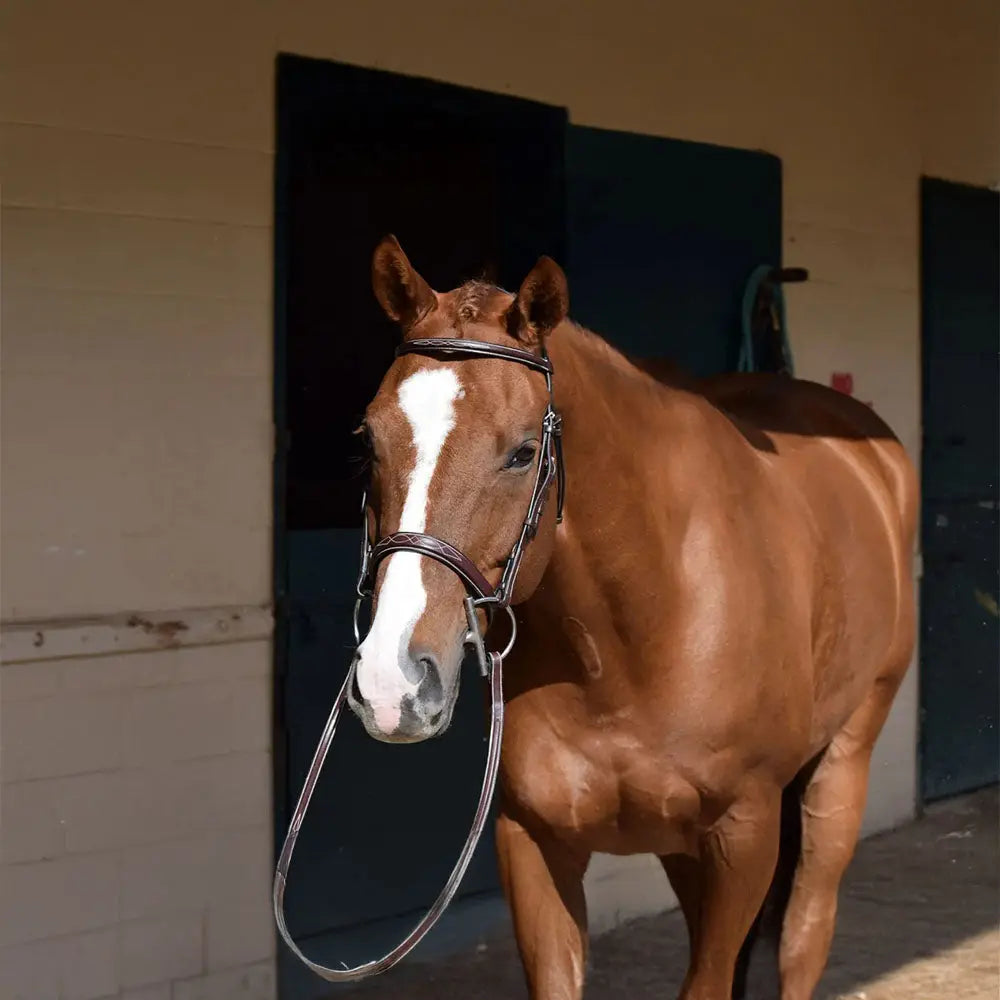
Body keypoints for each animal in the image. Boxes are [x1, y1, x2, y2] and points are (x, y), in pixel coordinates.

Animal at [347, 235, 918, 1000]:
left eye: (523, 452)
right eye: (368, 441)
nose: (394, 684)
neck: (631, 638)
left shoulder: (743, 835)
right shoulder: (534, 842)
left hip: (841, 767)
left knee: (804, 935)